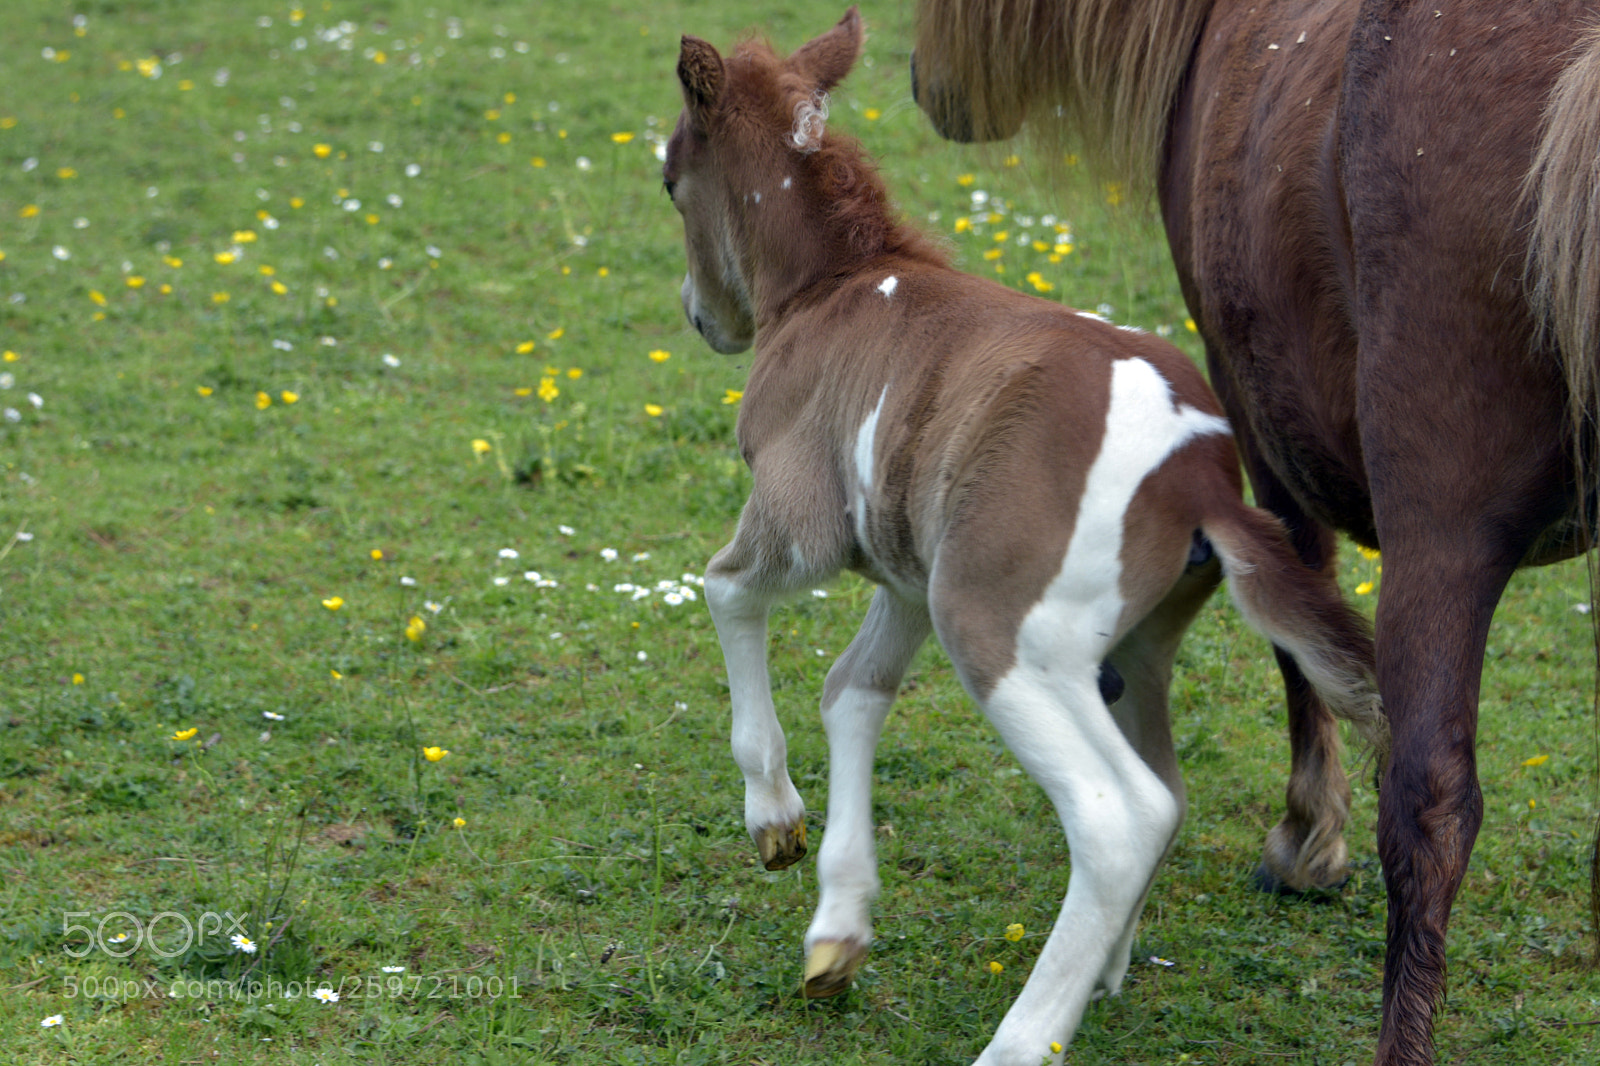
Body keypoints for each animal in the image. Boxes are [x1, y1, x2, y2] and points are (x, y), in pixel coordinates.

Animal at [664, 10, 1386, 1062]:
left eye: (670, 178)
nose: (702, 317)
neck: (835, 285)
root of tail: (1200, 479)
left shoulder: (804, 517)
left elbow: (723, 586)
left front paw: (774, 819)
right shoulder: (908, 572)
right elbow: (853, 689)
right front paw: (837, 934)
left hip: (997, 626)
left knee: (1120, 814)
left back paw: (1023, 1036)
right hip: (1130, 644)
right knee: (1164, 789)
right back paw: (1105, 968)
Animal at [909, 2, 1600, 1063]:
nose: (927, 89)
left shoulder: (1254, 414)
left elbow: (1296, 634)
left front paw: (1309, 840)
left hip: (1441, 526)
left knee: (1429, 798)